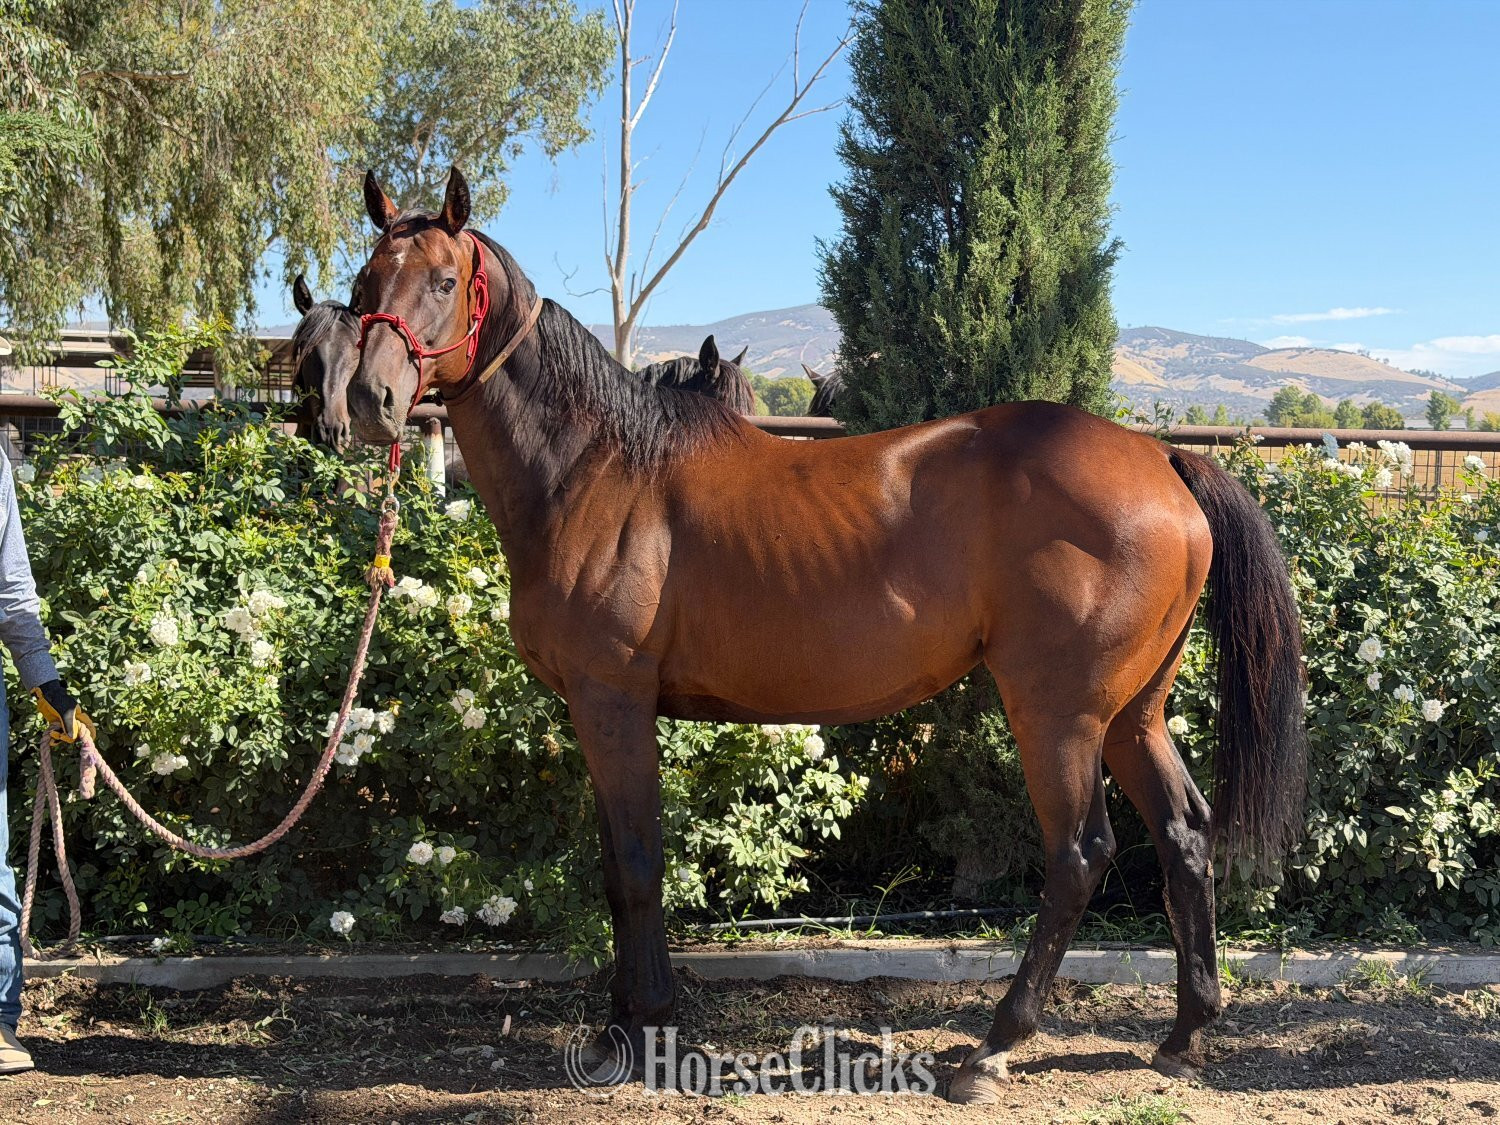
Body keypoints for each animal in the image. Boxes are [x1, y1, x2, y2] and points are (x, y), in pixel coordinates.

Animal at [344, 167, 1306, 1104]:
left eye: (443, 281)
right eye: (362, 284)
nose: (368, 398)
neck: (602, 469)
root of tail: (1161, 459)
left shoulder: (611, 700)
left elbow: (635, 864)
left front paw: (639, 1026)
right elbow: (624, 866)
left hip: (1059, 713)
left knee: (1079, 854)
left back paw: (993, 1046)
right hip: (1132, 712)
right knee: (1184, 832)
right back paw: (1183, 1033)